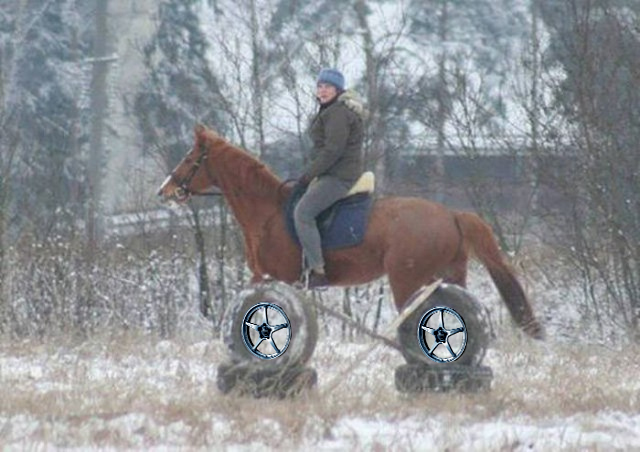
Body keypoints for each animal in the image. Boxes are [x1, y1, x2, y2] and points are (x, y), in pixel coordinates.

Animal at [158, 123, 544, 340]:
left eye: (191, 157)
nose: (165, 190)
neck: (268, 211)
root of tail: (450, 213)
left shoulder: (272, 278)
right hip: (447, 276)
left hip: (407, 280)